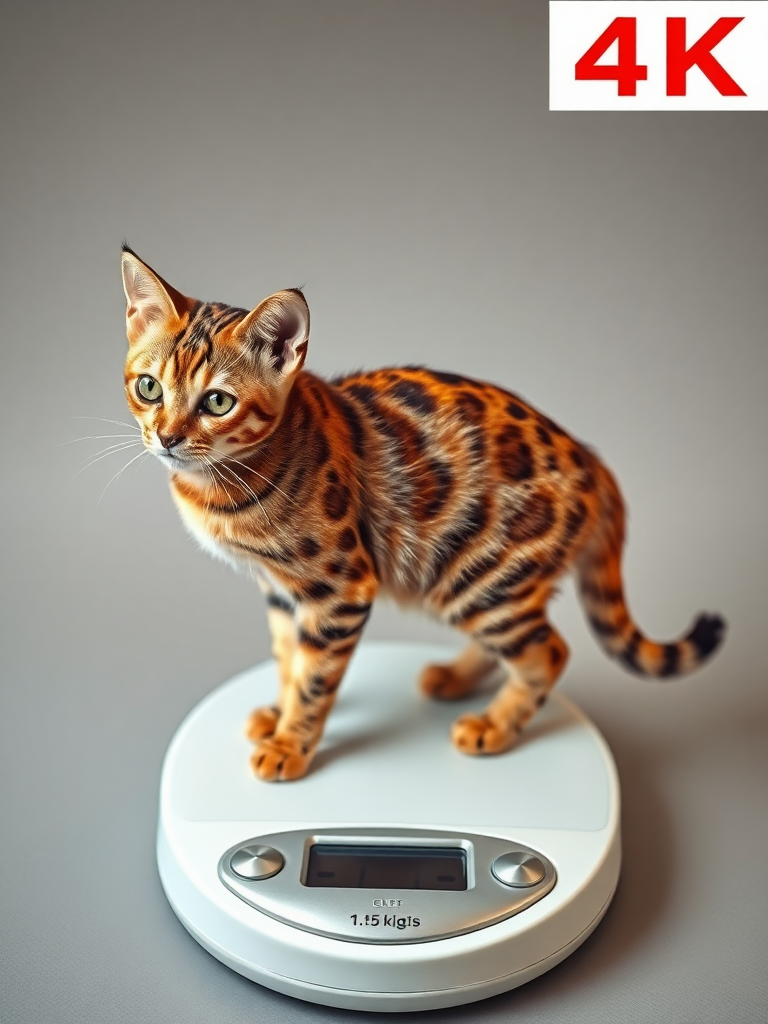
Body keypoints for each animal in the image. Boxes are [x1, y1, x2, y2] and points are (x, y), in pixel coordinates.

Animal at [120, 247, 729, 782]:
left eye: (218, 402)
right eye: (148, 388)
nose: (167, 438)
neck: (226, 482)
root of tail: (595, 462)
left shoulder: (340, 589)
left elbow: (316, 678)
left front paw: (292, 744)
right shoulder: (280, 589)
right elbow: (289, 658)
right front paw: (278, 713)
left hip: (482, 580)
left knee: (550, 651)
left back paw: (492, 726)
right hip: (477, 583)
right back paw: (453, 678)